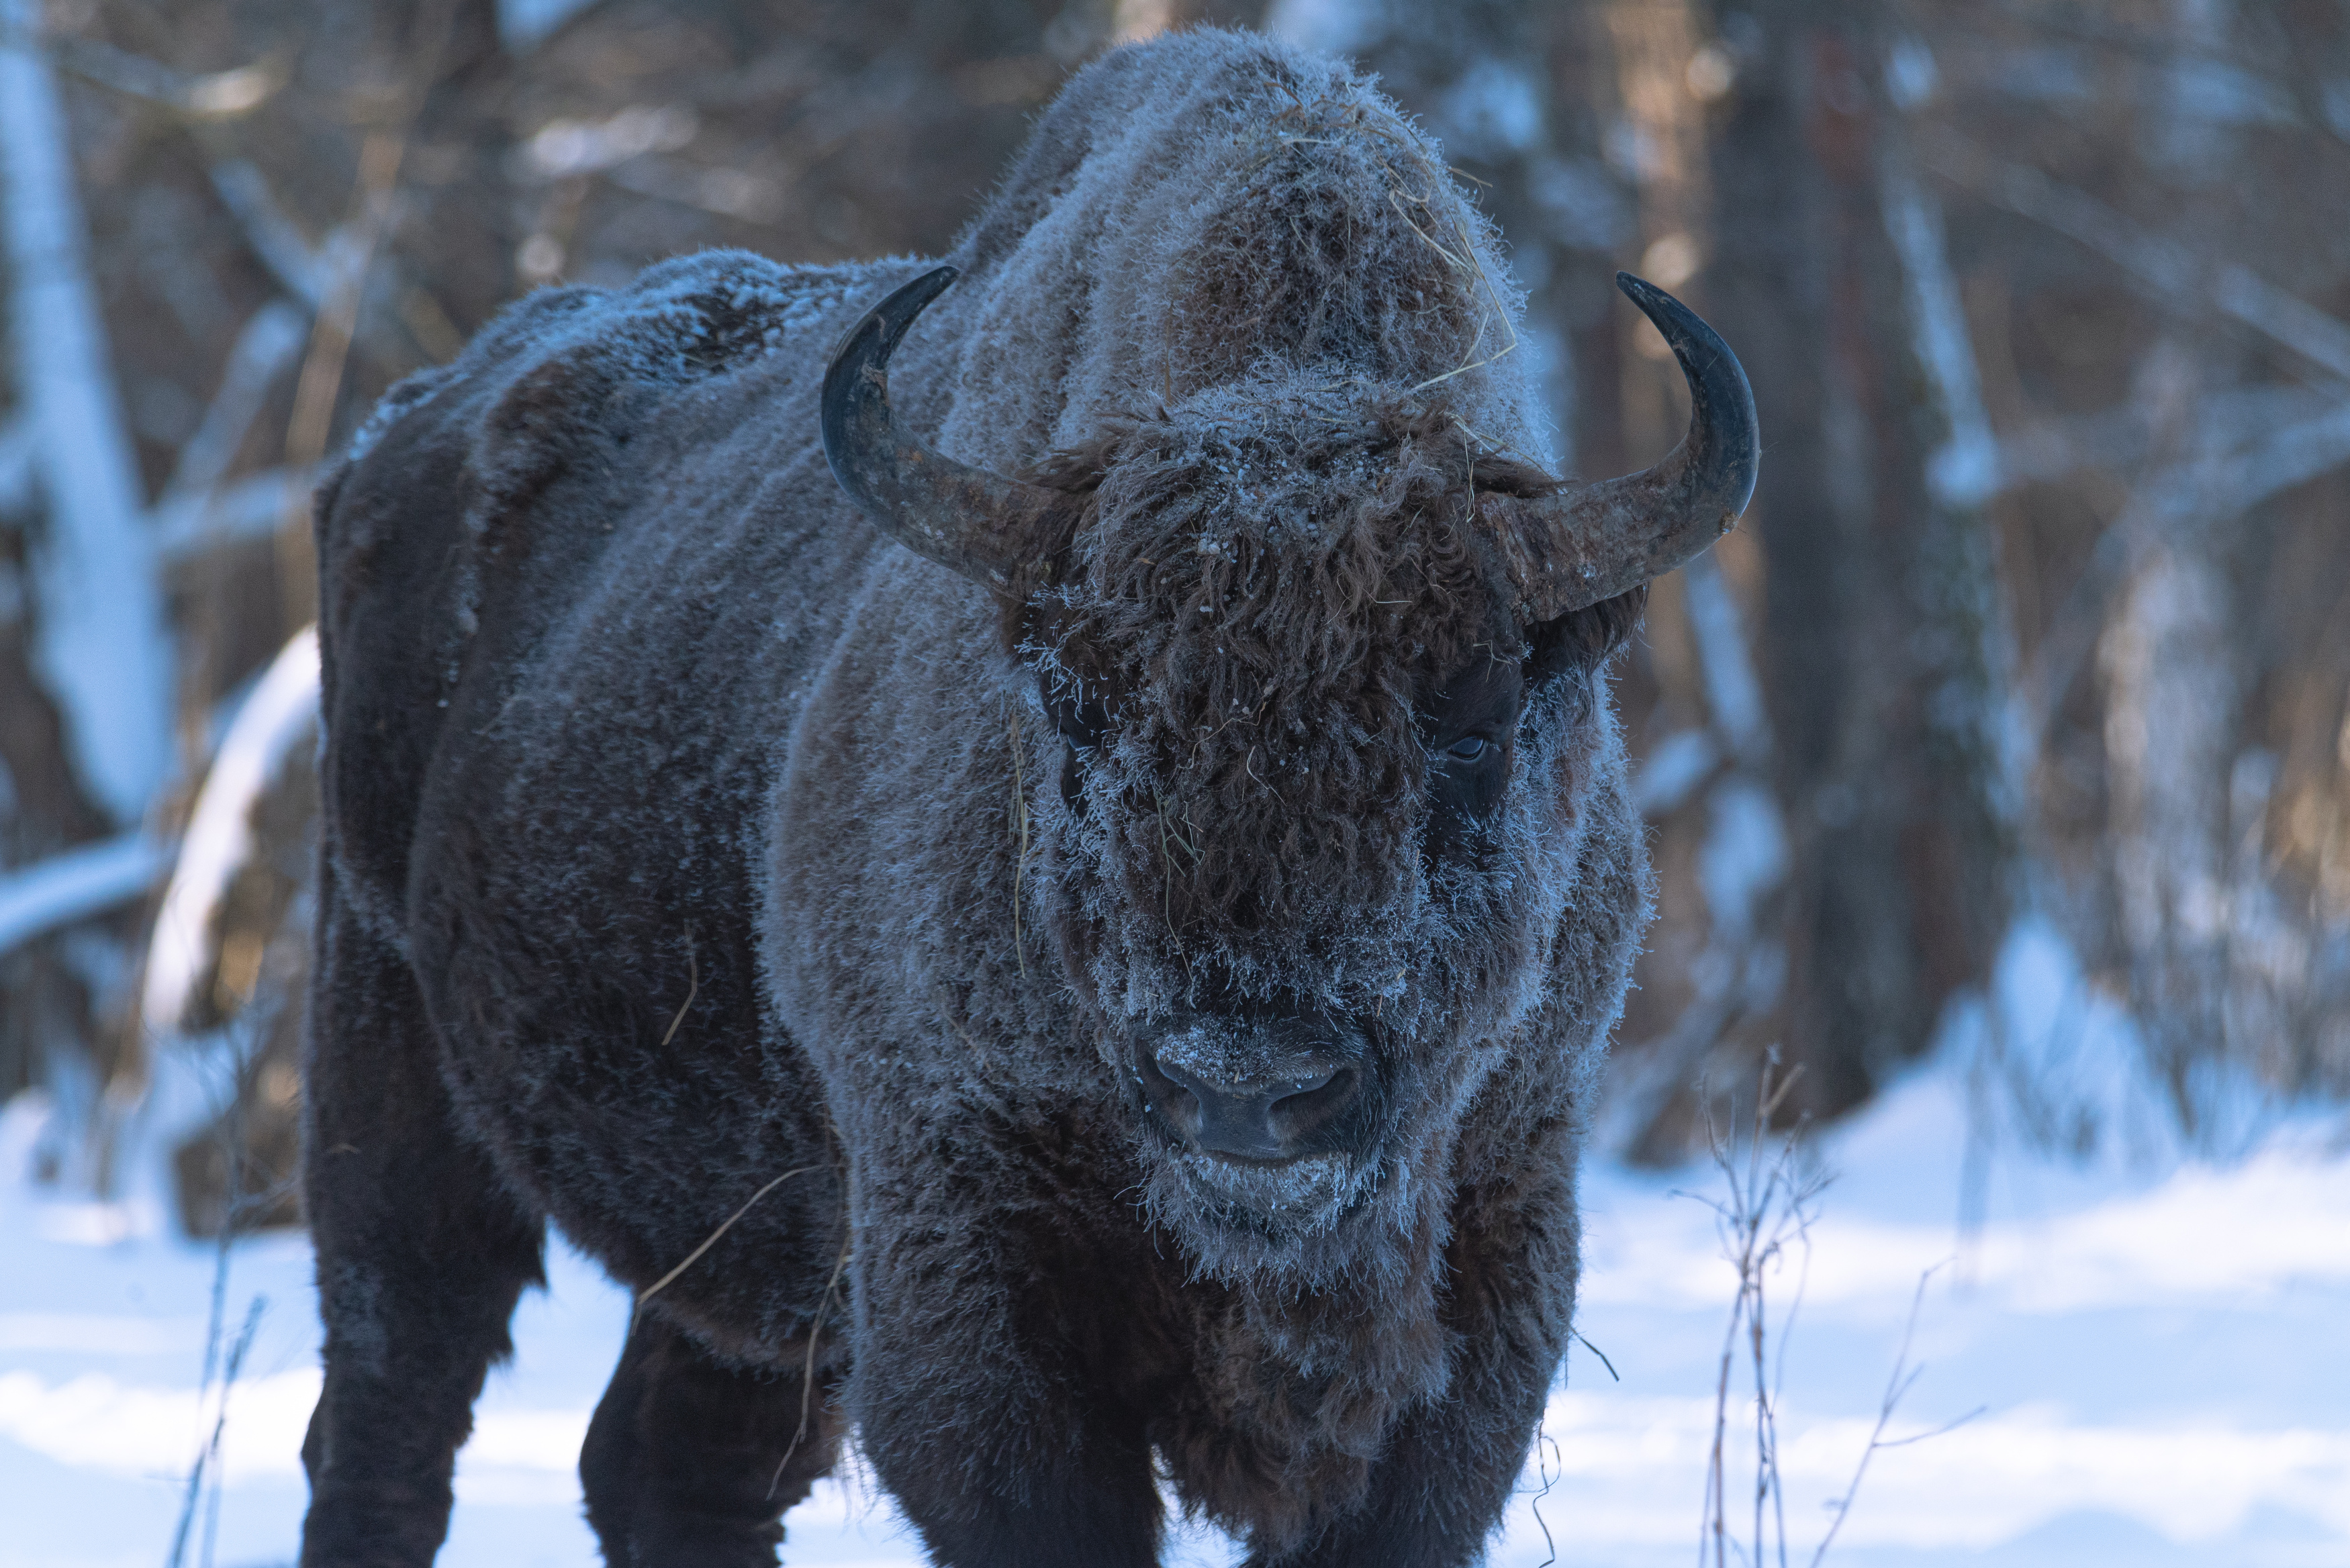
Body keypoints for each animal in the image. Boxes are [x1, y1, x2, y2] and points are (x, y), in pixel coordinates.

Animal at [293, 24, 1758, 1568]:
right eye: (1077, 706)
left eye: (1474, 721)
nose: (1249, 1085)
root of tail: (402, 433)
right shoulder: (959, 1265)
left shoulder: (1495, 1245)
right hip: (390, 1094)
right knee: (390, 1418)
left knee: (663, 1461)